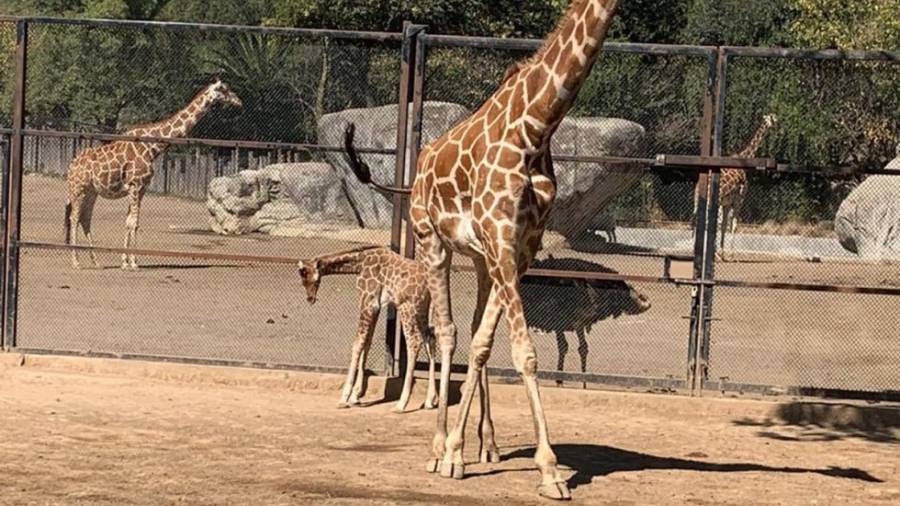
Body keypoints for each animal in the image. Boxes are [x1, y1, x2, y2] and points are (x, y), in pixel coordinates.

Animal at [65, 78, 242, 270]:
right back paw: (75, 262)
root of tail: (71, 166)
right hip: (78, 189)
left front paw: (125, 261)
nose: (239, 101)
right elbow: (134, 224)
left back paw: (95, 261)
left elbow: (129, 222)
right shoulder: (135, 185)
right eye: (223, 89)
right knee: (74, 218)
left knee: (85, 218)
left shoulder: (141, 188)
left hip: (92, 192)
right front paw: (134, 263)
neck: (152, 148)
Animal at [297, 245, 437, 413]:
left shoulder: (367, 301)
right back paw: (430, 400)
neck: (360, 263)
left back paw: (401, 404)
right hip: (423, 310)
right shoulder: (375, 306)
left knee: (414, 342)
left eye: (310, 277)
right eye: (302, 279)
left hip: (407, 308)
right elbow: (367, 343)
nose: (310, 299)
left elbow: (358, 343)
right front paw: (356, 396)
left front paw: (344, 398)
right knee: (430, 340)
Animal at [344, 1, 621, 499]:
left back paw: (485, 445)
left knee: (472, 333)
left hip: (478, 259)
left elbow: (487, 343)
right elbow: (522, 351)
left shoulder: (519, 246)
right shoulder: (501, 239)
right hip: (432, 241)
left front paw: (472, 447)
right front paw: (547, 471)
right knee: (446, 331)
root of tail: (417, 171)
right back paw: (438, 447)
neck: (536, 126)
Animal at [693, 114, 779, 254]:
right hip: (715, 201)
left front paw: (721, 251)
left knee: (698, 221)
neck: (745, 158)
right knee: (709, 222)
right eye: (772, 118)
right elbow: (733, 225)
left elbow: (724, 225)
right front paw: (729, 253)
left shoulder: (727, 203)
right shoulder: (739, 199)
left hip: (698, 201)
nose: (777, 123)